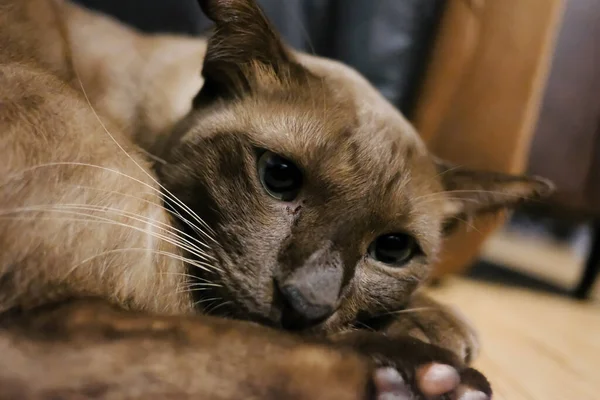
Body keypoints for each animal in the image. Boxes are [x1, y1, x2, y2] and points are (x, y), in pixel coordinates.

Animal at [0, 0, 552, 396]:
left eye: (393, 250)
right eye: (279, 177)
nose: (305, 303)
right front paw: (439, 329)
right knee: (73, 334)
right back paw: (432, 380)